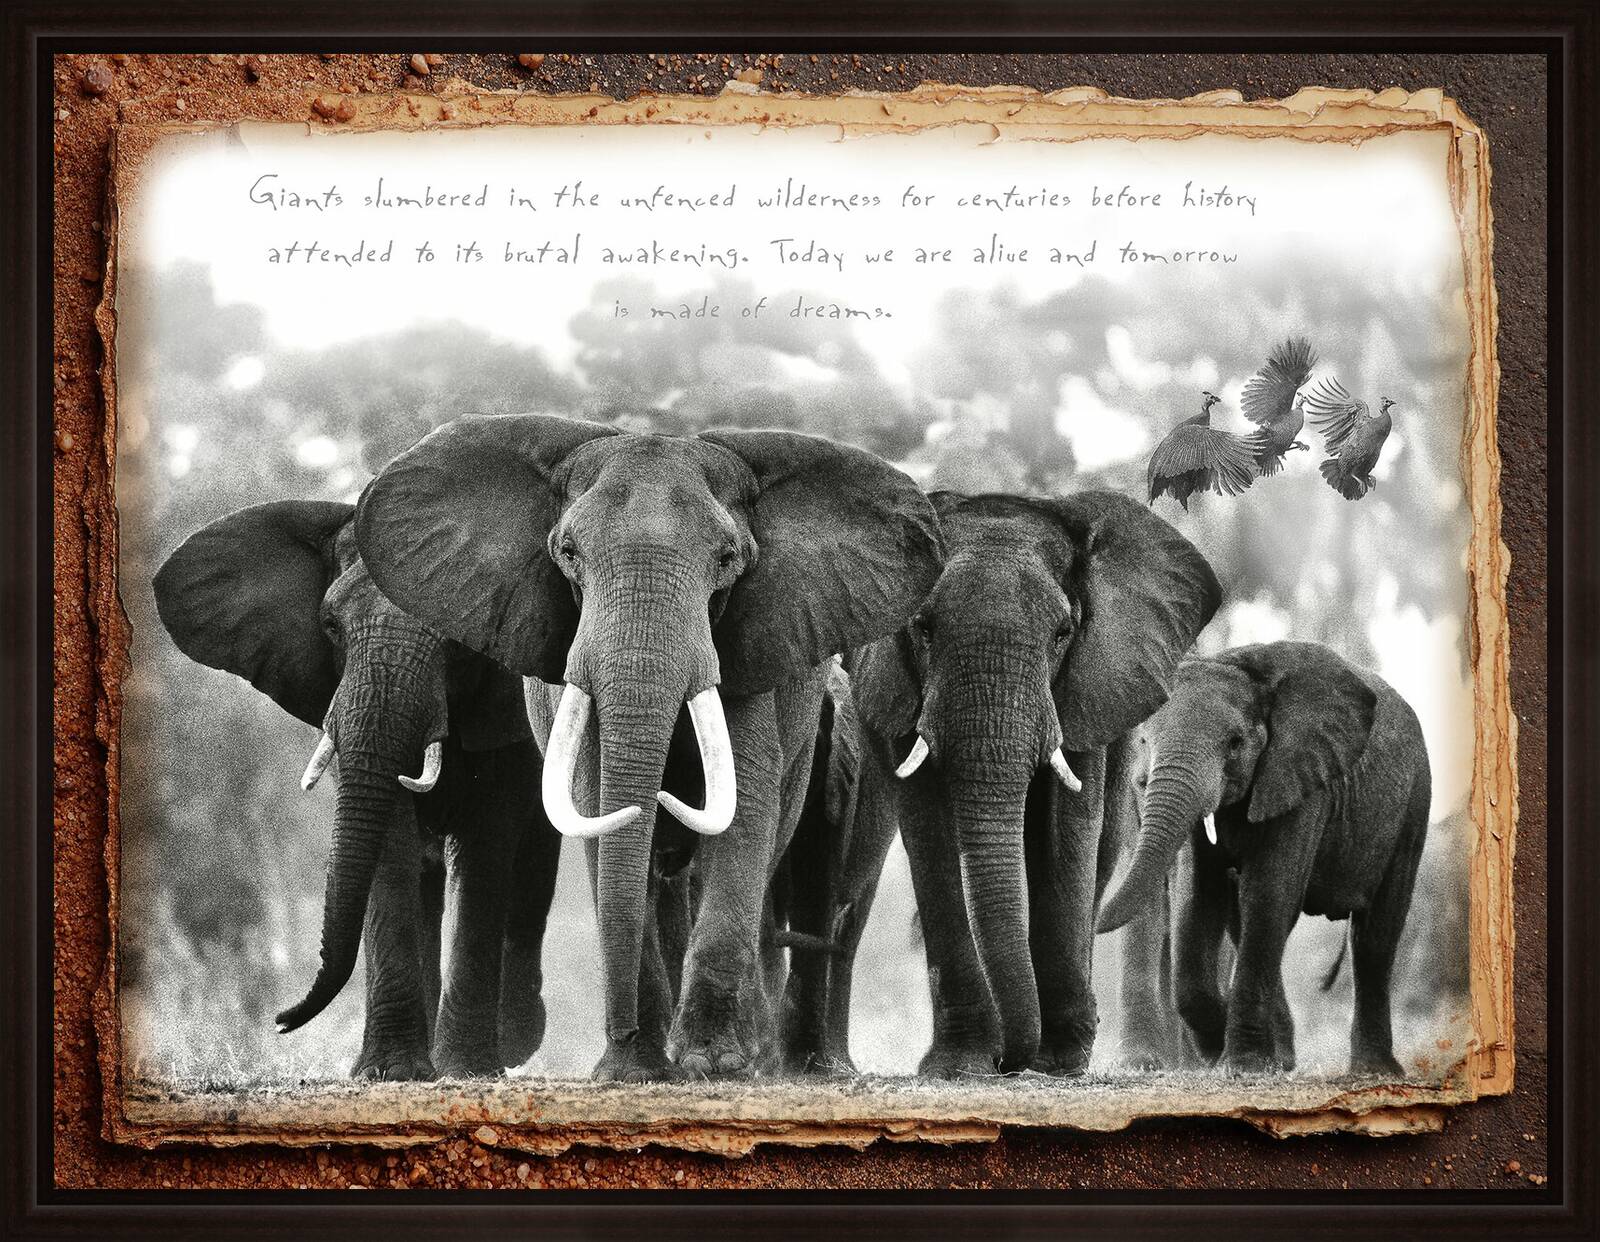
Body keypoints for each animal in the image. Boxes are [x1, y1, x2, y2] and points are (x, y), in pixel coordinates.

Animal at [153, 500, 561, 1079]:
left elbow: (484, 850)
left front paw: (466, 1069)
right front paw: (391, 1072)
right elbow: (389, 849)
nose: (280, 1021)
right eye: (330, 626)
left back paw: (513, 1042)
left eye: (458, 641)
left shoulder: (507, 712)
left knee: (530, 870)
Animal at [354, 415, 943, 1081]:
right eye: (568, 554)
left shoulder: (750, 647)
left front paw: (712, 1063)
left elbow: (745, 804)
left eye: (728, 559)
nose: (623, 1032)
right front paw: (636, 1071)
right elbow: (594, 800)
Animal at [847, 490, 1221, 1076]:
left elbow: (1069, 828)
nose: (1007, 1062)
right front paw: (959, 1064)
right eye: (923, 629)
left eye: (1063, 634)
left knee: (1103, 849)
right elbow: (930, 832)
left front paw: (1059, 1059)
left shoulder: (1086, 688)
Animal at [1096, 641, 1431, 1078]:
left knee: (1375, 936)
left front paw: (1243, 1066)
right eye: (1142, 743)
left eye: (1236, 743)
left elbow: (1269, 893)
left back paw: (1373, 1072)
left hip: (1414, 800)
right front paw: (1216, 1056)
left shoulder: (1302, 777)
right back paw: (1283, 1059)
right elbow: (1198, 897)